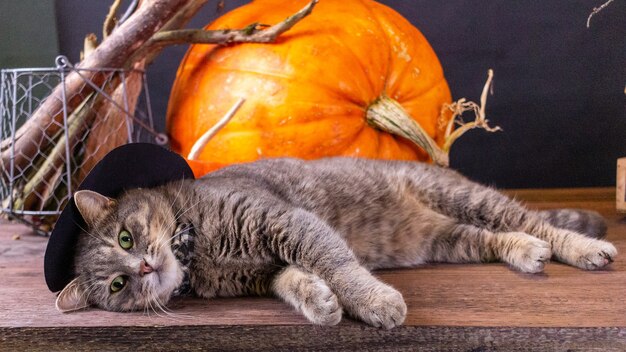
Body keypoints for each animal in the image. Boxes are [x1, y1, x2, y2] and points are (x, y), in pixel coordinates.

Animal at [57, 158, 616, 328]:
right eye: (117, 285)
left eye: (127, 236)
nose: (145, 269)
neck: (200, 253)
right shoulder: (267, 271)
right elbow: (294, 282)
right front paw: (321, 303)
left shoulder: (286, 221)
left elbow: (337, 262)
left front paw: (373, 301)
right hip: (449, 238)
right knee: (499, 237)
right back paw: (524, 251)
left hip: (466, 197)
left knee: (536, 221)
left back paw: (583, 248)